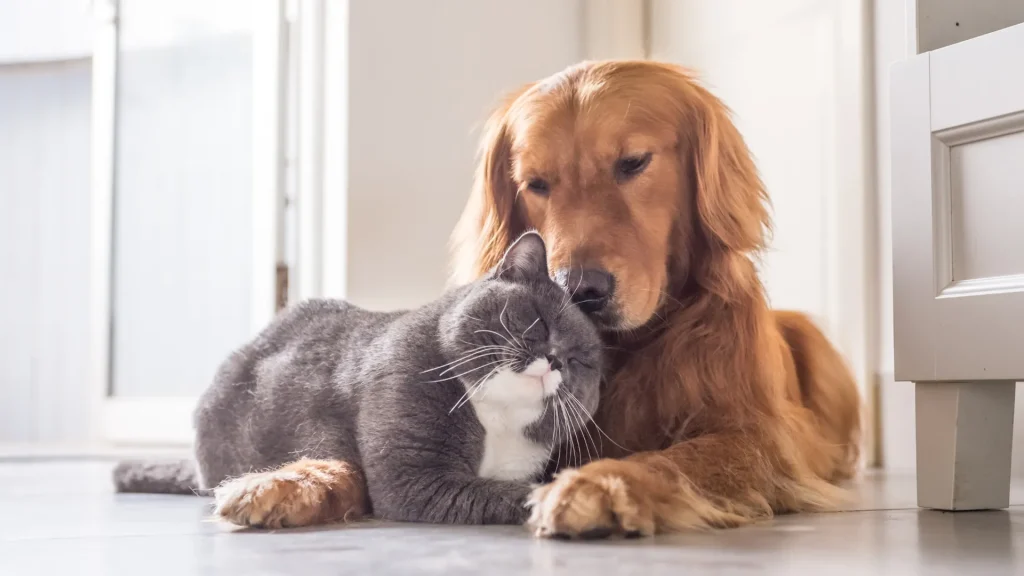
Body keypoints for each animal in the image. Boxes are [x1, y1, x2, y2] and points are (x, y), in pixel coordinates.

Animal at [113, 231, 602, 524]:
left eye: (581, 361)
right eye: (538, 321)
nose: (555, 360)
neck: (495, 418)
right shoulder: (414, 477)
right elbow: (509, 492)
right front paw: (562, 499)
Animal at [452, 60, 860, 537]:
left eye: (633, 163)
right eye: (535, 184)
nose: (579, 289)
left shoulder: (758, 437)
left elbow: (675, 459)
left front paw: (600, 484)